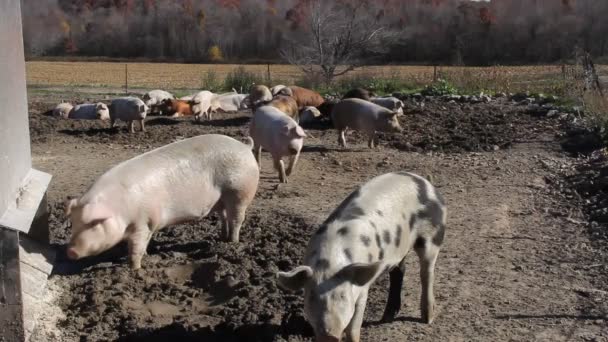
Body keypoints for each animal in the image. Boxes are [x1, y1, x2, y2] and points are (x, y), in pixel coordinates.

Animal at [66, 134, 258, 270]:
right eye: (74, 223)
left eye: (94, 223)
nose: (71, 251)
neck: (120, 207)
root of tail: (245, 146)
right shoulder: (149, 223)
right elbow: (144, 244)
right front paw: (146, 255)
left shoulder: (143, 221)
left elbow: (136, 248)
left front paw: (135, 269)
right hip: (221, 200)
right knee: (224, 217)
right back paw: (222, 238)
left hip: (239, 192)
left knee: (236, 219)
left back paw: (232, 242)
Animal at [276, 172, 446, 340]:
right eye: (311, 296)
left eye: (342, 296)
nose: (330, 335)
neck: (330, 261)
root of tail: (423, 181)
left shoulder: (363, 290)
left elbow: (353, 328)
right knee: (399, 271)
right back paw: (387, 318)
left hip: (432, 237)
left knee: (427, 272)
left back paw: (427, 318)